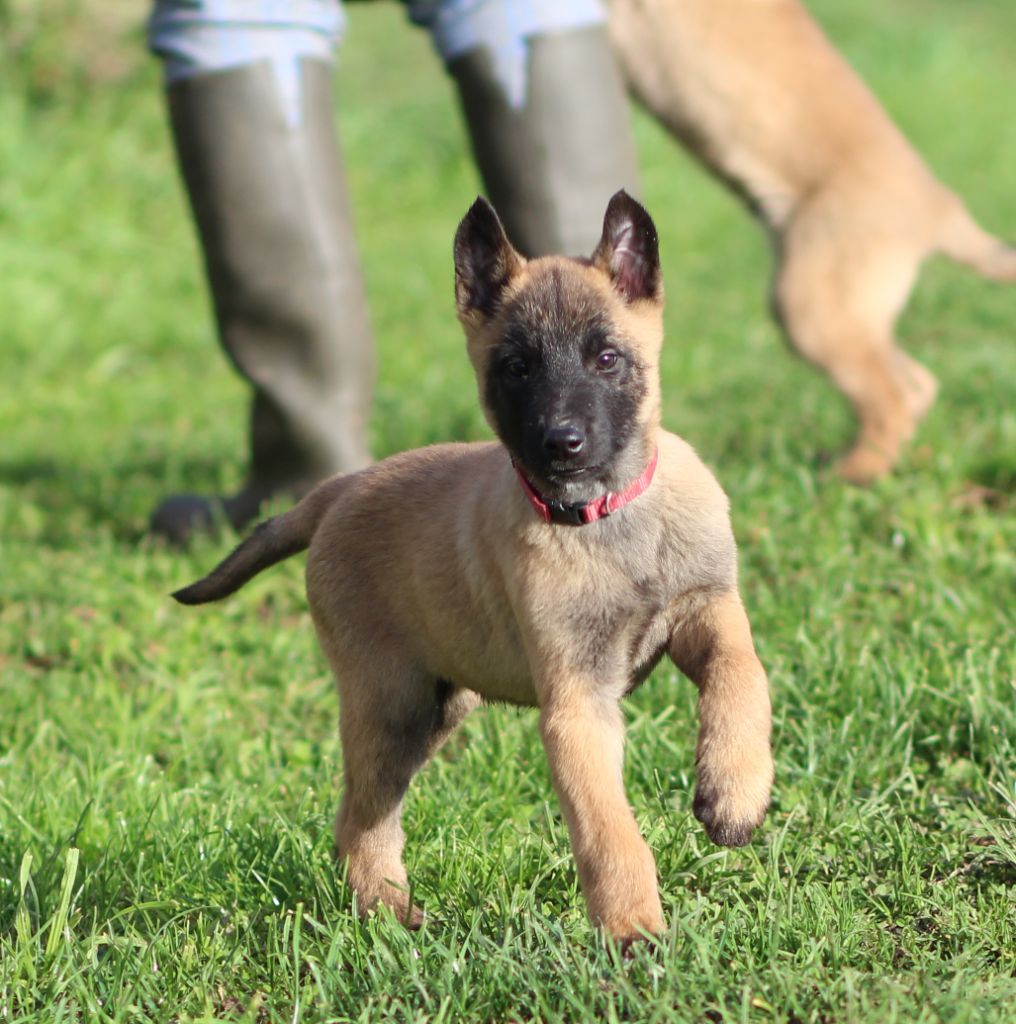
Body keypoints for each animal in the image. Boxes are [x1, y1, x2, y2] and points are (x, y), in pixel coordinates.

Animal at [174, 192, 770, 942]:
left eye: (607, 358)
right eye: (516, 368)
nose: (562, 444)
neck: (607, 520)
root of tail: (339, 489)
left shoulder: (705, 608)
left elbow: (742, 674)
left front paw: (736, 792)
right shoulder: (578, 706)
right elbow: (608, 830)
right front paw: (633, 932)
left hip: (437, 704)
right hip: (393, 706)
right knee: (360, 822)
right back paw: (391, 917)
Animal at [610, 0, 1016, 481]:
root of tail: (941, 210)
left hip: (812, 308)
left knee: (891, 397)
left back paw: (852, 475)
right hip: (843, 310)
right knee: (914, 383)